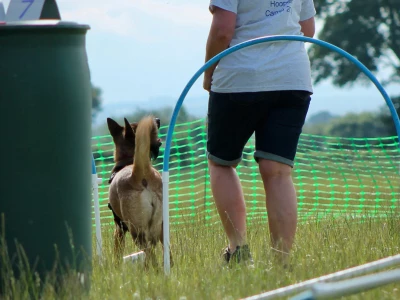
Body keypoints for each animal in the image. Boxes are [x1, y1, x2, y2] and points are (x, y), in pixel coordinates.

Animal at [106, 115, 167, 268]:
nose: (158, 119)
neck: (128, 161)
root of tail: (139, 174)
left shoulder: (119, 228)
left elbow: (117, 250)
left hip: (137, 232)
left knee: (150, 254)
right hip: (161, 226)